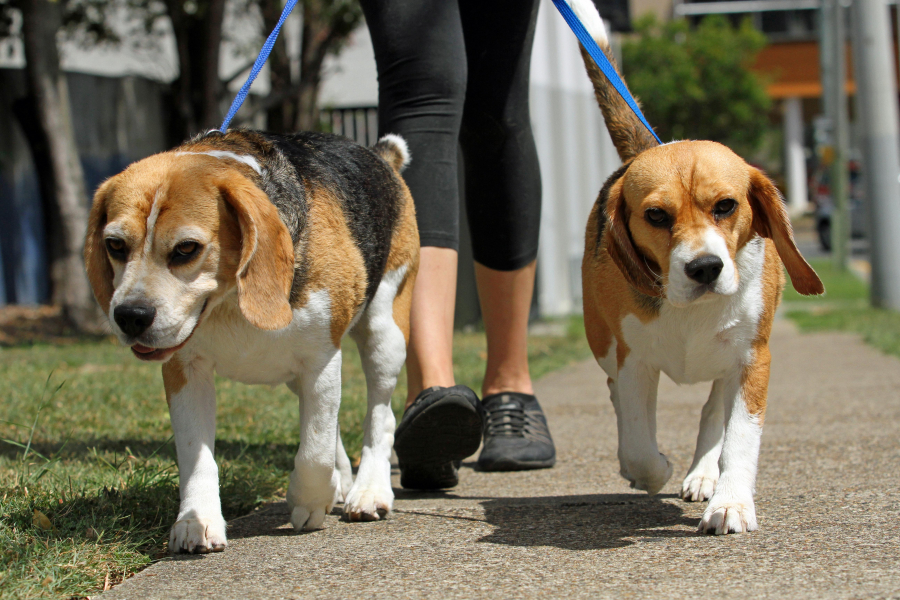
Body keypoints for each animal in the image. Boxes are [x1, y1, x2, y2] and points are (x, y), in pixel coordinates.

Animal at [81, 129, 418, 552]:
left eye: (186, 249)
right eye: (115, 245)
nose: (130, 316)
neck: (227, 303)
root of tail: (379, 154)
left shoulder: (321, 358)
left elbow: (315, 450)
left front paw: (309, 500)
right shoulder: (185, 371)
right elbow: (196, 454)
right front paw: (197, 519)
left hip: (384, 332)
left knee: (379, 415)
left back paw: (369, 491)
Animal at [568, 0, 828, 536]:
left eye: (725, 206)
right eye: (656, 216)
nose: (705, 268)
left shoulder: (753, 359)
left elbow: (739, 437)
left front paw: (731, 503)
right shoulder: (634, 360)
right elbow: (640, 444)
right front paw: (651, 469)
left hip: (729, 361)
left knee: (713, 410)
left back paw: (707, 475)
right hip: (602, 343)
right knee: (620, 397)